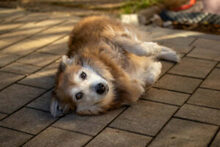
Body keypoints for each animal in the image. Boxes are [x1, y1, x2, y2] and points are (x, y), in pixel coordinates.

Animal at [50, 15, 180, 117]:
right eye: (78, 95)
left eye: (83, 75)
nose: (100, 87)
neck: (113, 72)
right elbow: (148, 79)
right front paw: (155, 68)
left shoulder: (112, 38)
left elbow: (138, 48)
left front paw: (152, 49)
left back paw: (168, 52)